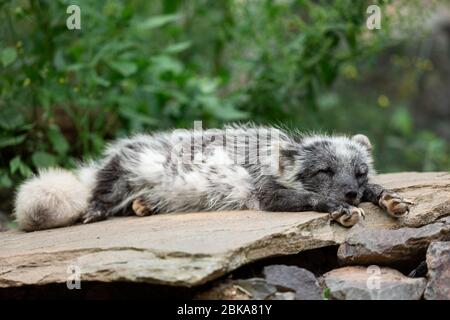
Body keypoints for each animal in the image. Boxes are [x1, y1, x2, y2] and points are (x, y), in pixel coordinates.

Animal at [15, 124, 414, 231]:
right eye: (324, 171)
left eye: (360, 172)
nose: (349, 194)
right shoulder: (265, 194)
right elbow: (309, 198)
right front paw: (339, 209)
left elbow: (379, 190)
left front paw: (390, 198)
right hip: (125, 170)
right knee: (99, 195)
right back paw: (94, 211)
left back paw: (143, 206)